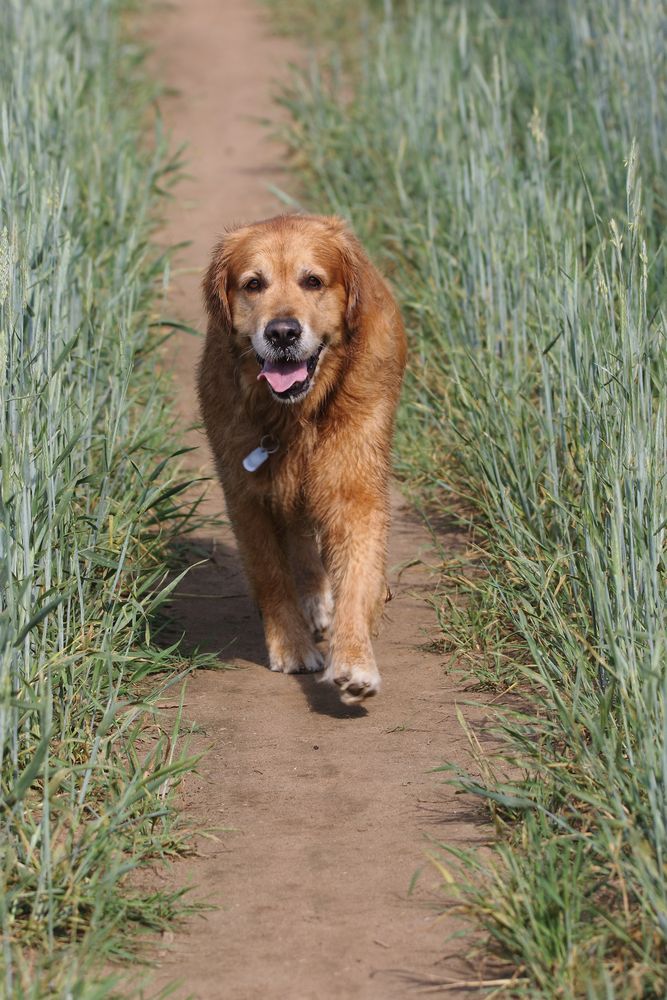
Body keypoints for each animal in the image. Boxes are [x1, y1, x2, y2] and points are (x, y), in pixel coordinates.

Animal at [198, 216, 408, 704]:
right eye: (253, 284)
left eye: (313, 281)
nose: (282, 333)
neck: (295, 414)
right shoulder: (245, 491)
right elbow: (270, 572)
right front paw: (291, 646)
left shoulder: (354, 483)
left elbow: (358, 573)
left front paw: (354, 661)